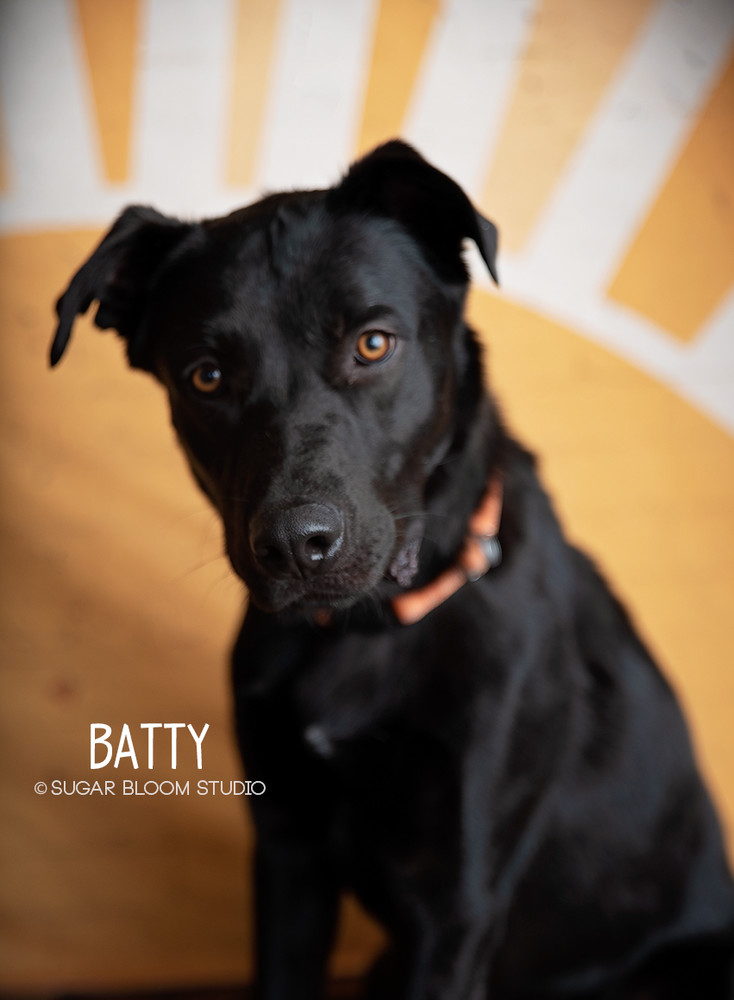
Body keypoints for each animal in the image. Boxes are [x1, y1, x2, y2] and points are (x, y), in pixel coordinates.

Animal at [51, 143, 734, 1000]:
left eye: (373, 344)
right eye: (206, 376)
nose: (296, 544)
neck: (363, 634)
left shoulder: (457, 908)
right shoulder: (287, 856)